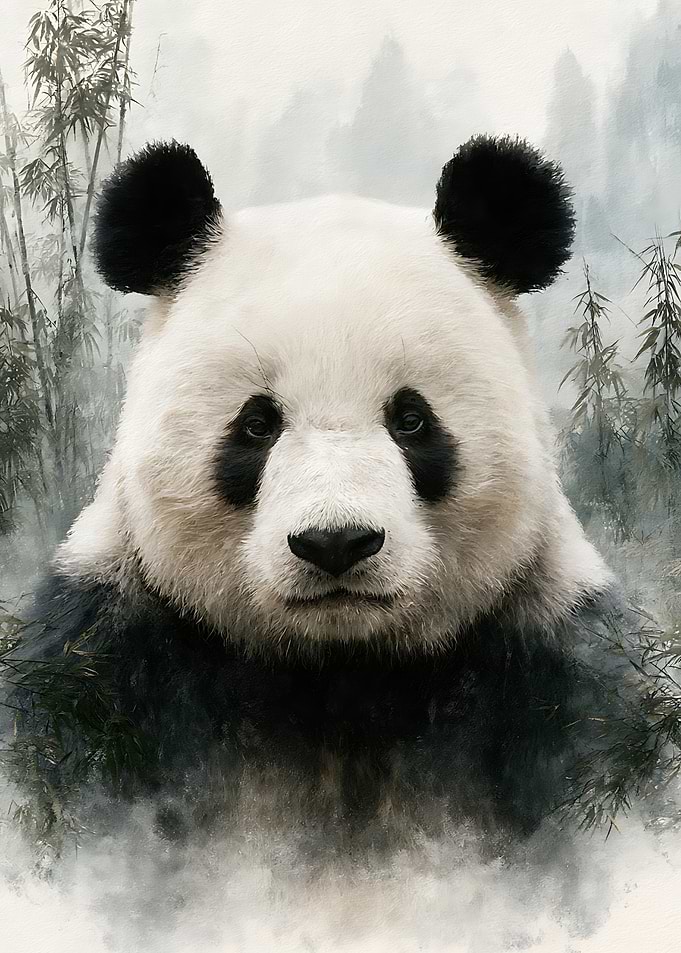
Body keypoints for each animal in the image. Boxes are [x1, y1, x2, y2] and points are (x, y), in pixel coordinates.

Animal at [5, 135, 654, 853]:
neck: (338, 670)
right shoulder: (108, 654)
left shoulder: (552, 659)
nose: (336, 543)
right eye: (257, 424)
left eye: (411, 420)